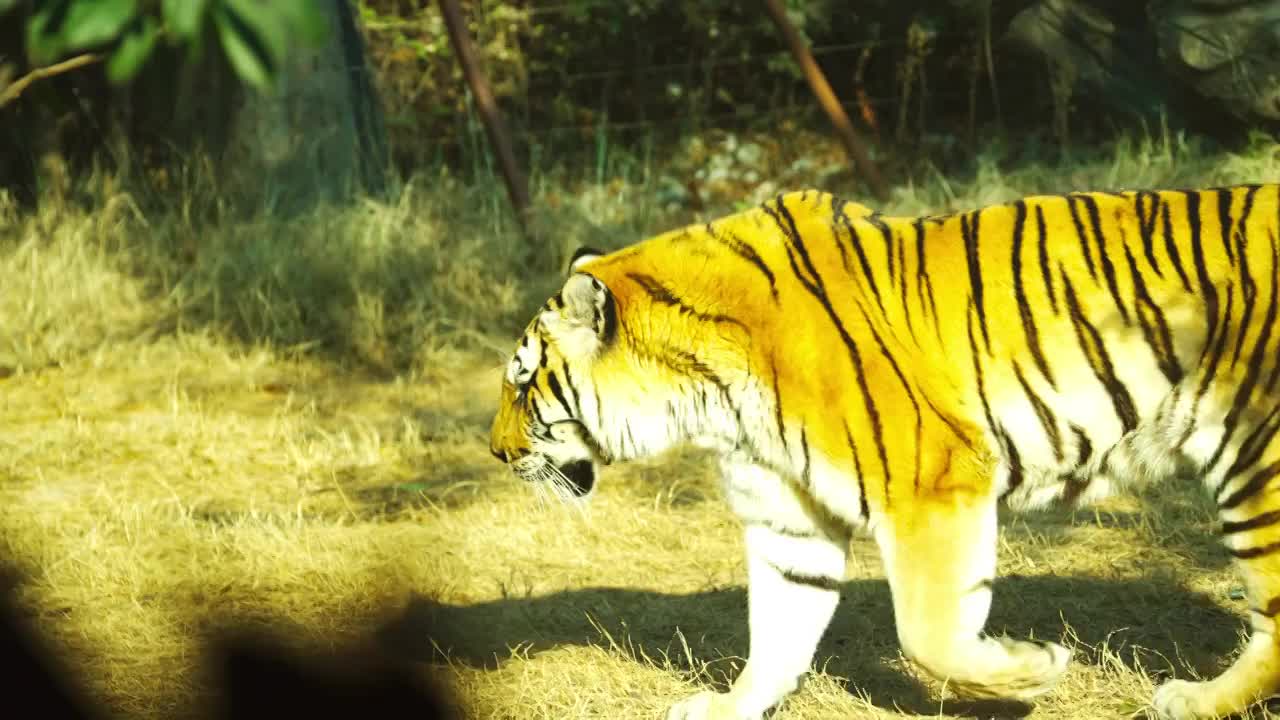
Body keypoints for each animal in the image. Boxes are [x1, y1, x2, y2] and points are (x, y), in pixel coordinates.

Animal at [486, 185, 1280, 717]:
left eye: (522, 383)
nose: (494, 453)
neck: (706, 397)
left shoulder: (933, 484)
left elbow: (928, 632)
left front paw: (1033, 670)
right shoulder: (788, 519)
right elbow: (777, 632)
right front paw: (726, 706)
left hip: (1257, 468)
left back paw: (1193, 699)